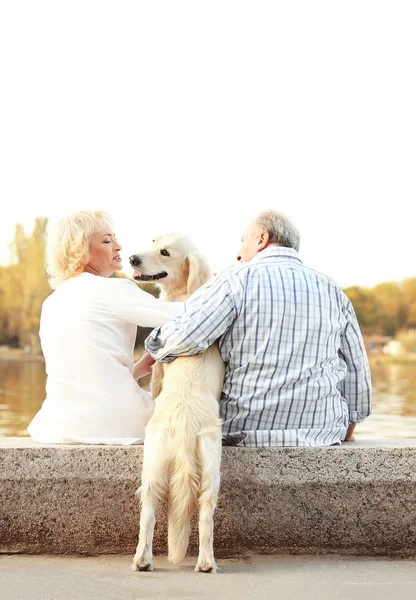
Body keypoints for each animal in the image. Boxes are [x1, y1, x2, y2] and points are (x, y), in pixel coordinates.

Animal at [132, 233, 226, 572]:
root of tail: (185, 423)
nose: (132, 258)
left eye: (164, 252)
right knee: (200, 513)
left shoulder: (158, 364)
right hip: (197, 466)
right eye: (153, 240)